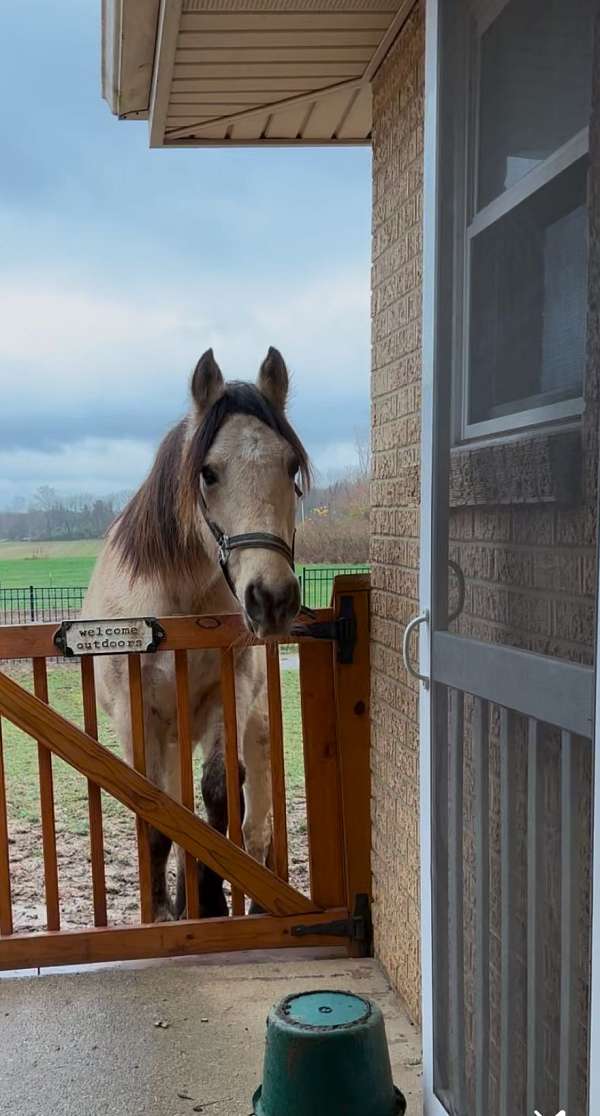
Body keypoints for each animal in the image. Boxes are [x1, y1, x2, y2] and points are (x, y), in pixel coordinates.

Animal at [81, 345, 307, 915]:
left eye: (291, 465)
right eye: (208, 473)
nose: (272, 598)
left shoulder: (231, 695)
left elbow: (220, 797)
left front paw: (212, 901)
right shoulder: (136, 719)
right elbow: (157, 814)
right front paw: (166, 910)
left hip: (252, 725)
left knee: (254, 816)